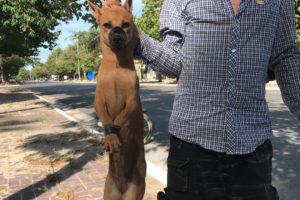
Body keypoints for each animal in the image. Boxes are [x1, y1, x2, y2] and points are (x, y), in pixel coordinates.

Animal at [87, 0, 146, 200]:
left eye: (126, 24)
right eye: (106, 25)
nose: (118, 35)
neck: (116, 66)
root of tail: (121, 189)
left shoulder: (132, 100)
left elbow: (120, 118)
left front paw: (113, 137)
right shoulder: (98, 100)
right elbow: (107, 119)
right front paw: (111, 137)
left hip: (135, 191)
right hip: (109, 193)